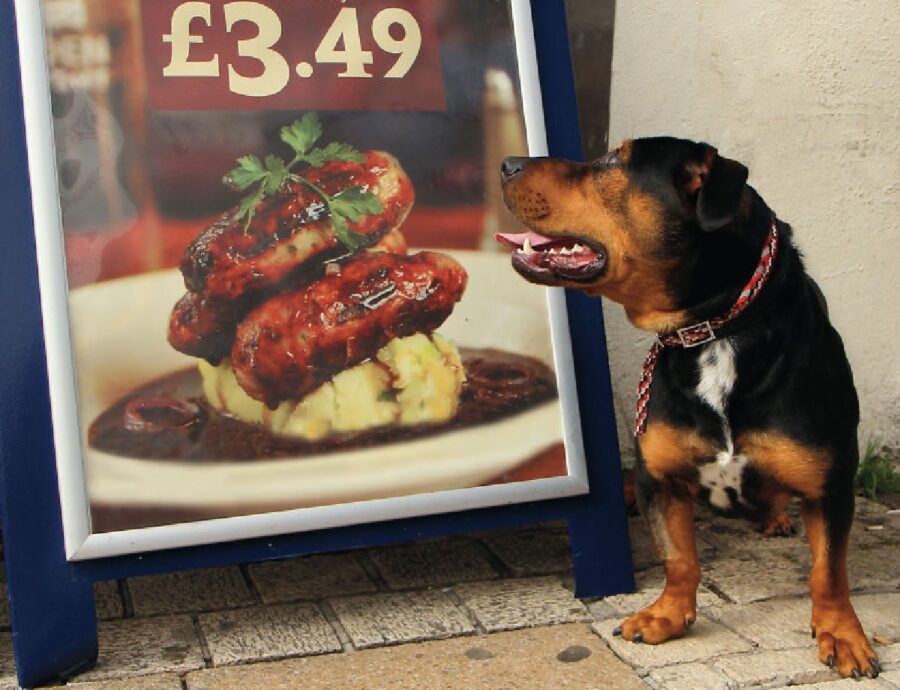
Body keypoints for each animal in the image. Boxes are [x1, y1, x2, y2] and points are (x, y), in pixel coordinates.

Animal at [492, 137, 880, 680]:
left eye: (612, 161)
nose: (507, 162)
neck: (714, 330)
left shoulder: (831, 487)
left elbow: (828, 573)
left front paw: (842, 634)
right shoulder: (660, 479)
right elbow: (678, 559)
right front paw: (670, 615)